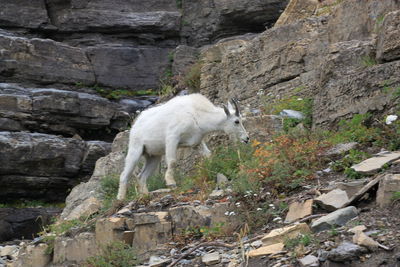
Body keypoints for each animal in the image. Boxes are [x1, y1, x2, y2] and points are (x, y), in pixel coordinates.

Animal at [115, 93, 248, 200]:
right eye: (236, 121)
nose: (246, 139)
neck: (197, 114)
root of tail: (135, 125)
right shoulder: (172, 137)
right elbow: (172, 161)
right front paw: (171, 182)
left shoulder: (196, 142)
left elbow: (208, 155)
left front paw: (211, 170)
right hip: (135, 149)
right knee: (124, 175)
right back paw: (120, 198)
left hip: (154, 156)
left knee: (141, 176)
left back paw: (145, 195)